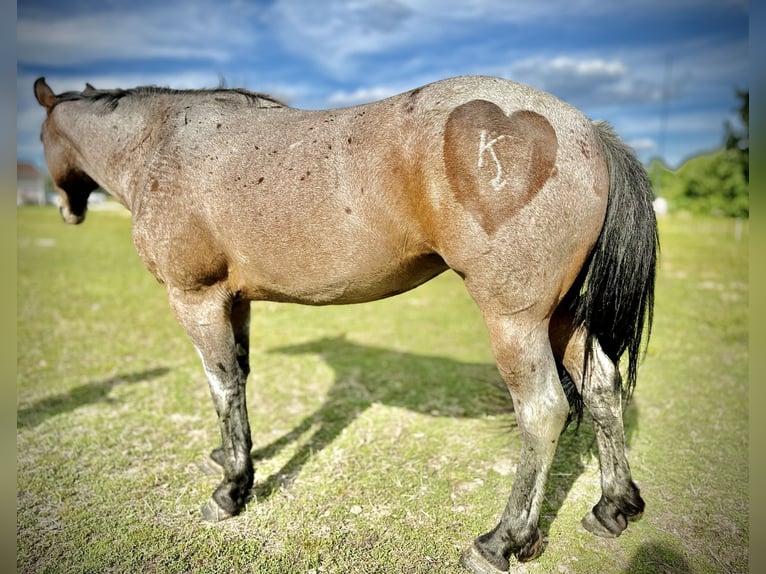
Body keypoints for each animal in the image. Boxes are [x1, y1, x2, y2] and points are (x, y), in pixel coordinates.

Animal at [34, 74, 657, 573]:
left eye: (41, 140)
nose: (68, 210)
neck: (161, 144)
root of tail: (584, 129)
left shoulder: (196, 299)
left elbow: (221, 385)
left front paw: (231, 489)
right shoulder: (236, 300)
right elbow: (240, 375)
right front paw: (234, 458)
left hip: (516, 322)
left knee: (543, 411)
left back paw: (501, 541)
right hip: (563, 316)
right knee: (602, 390)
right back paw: (613, 507)